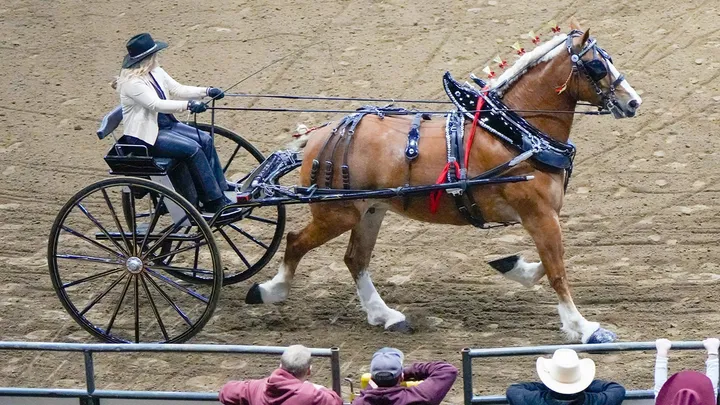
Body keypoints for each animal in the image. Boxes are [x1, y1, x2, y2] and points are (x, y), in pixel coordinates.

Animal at [244, 20, 642, 344]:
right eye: (597, 65)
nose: (633, 102)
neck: (515, 133)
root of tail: (320, 134)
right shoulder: (539, 215)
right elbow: (558, 269)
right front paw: (584, 327)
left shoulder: (543, 217)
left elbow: (552, 260)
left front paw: (514, 266)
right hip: (337, 214)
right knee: (296, 242)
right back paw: (271, 290)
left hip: (371, 210)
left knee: (355, 259)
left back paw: (384, 315)